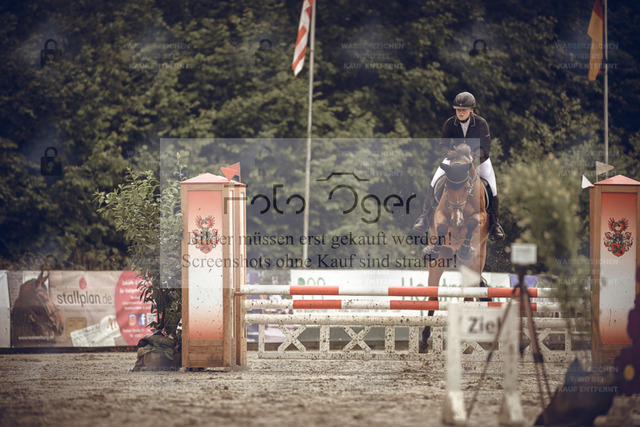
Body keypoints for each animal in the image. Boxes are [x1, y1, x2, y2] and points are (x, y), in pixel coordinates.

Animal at [420, 144, 490, 352]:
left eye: (467, 187)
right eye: (447, 188)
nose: (456, 219)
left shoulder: (481, 217)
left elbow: (474, 221)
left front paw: (466, 244)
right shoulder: (439, 215)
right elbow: (442, 225)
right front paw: (432, 249)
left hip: (476, 263)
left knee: (469, 299)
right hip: (441, 260)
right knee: (433, 298)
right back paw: (424, 341)